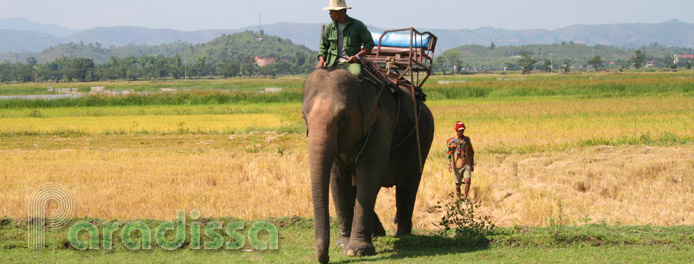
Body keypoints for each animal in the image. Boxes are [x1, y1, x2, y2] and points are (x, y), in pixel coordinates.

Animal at [304, 67, 436, 262]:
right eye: (304, 117)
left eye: (343, 117)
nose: (325, 258)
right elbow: (338, 181)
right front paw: (343, 244)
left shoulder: (381, 123)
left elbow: (369, 176)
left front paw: (356, 251)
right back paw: (378, 233)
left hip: (423, 138)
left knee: (408, 185)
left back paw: (402, 235)